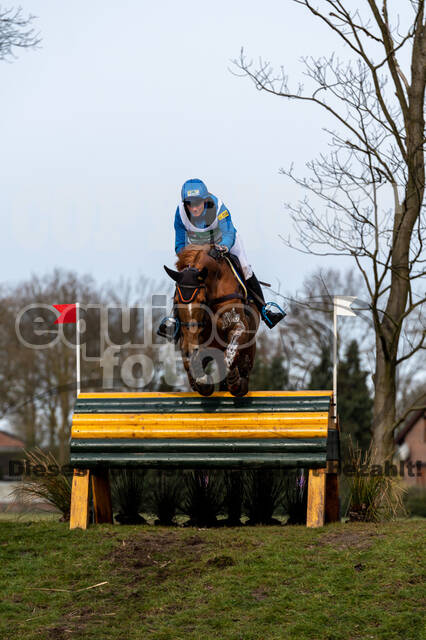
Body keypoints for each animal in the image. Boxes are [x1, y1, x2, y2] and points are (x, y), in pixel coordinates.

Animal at [164, 245, 260, 396]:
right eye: (176, 301)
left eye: (202, 301)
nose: (191, 348)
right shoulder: (189, 340)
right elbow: (191, 364)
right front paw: (202, 379)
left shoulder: (239, 327)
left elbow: (230, 353)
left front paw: (232, 378)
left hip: (249, 349)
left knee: (243, 376)